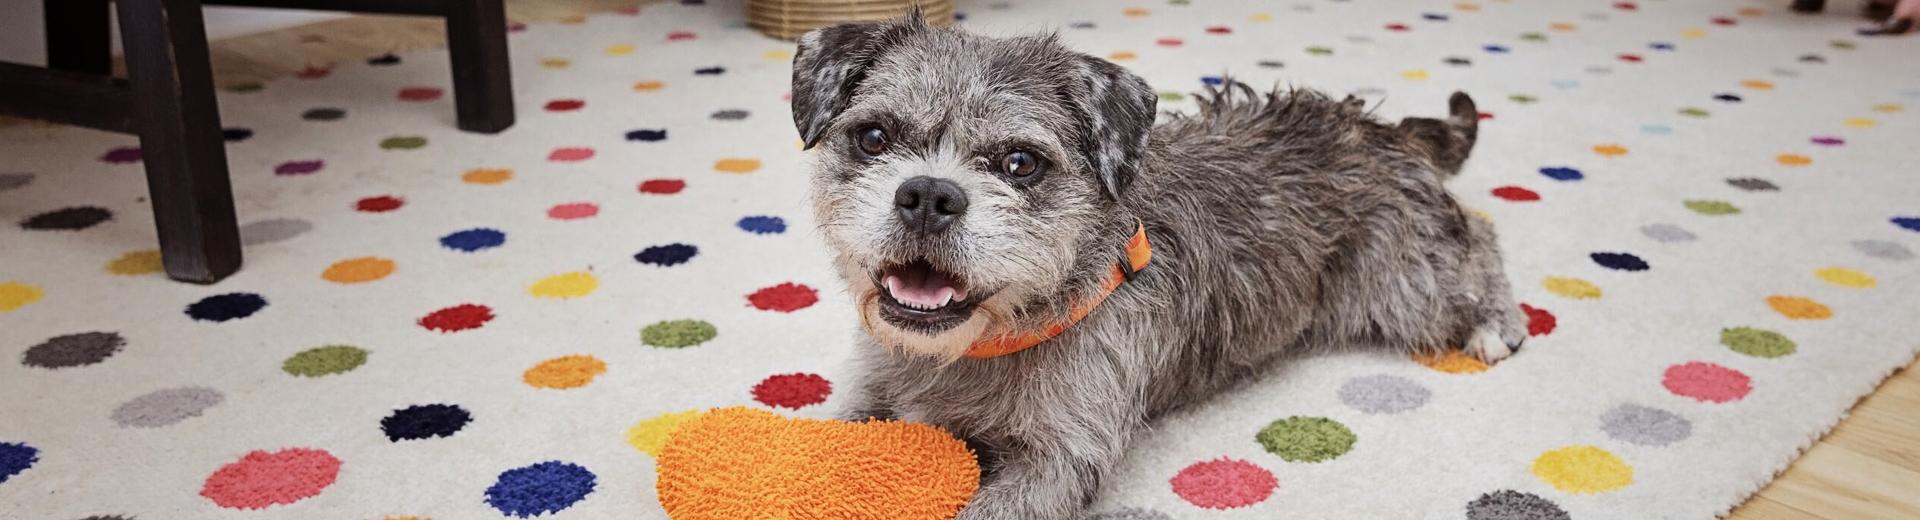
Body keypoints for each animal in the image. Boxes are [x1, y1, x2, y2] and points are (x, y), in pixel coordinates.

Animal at [787, 13, 1520, 520]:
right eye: (874, 136)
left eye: (1019, 162)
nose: (928, 196)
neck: (978, 349)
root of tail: (1379, 129)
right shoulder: (870, 396)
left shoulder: (1060, 459)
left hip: (1405, 284)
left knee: (1479, 236)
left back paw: (1496, 322)